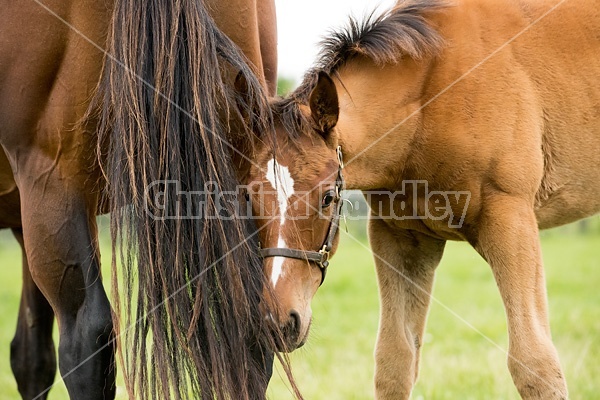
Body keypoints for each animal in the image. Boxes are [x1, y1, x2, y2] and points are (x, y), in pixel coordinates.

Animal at [251, 0, 600, 398]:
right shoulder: (402, 237)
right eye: (247, 196)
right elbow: (395, 362)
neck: (431, 98)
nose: (278, 321)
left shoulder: (511, 218)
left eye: (327, 197)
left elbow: (535, 364)